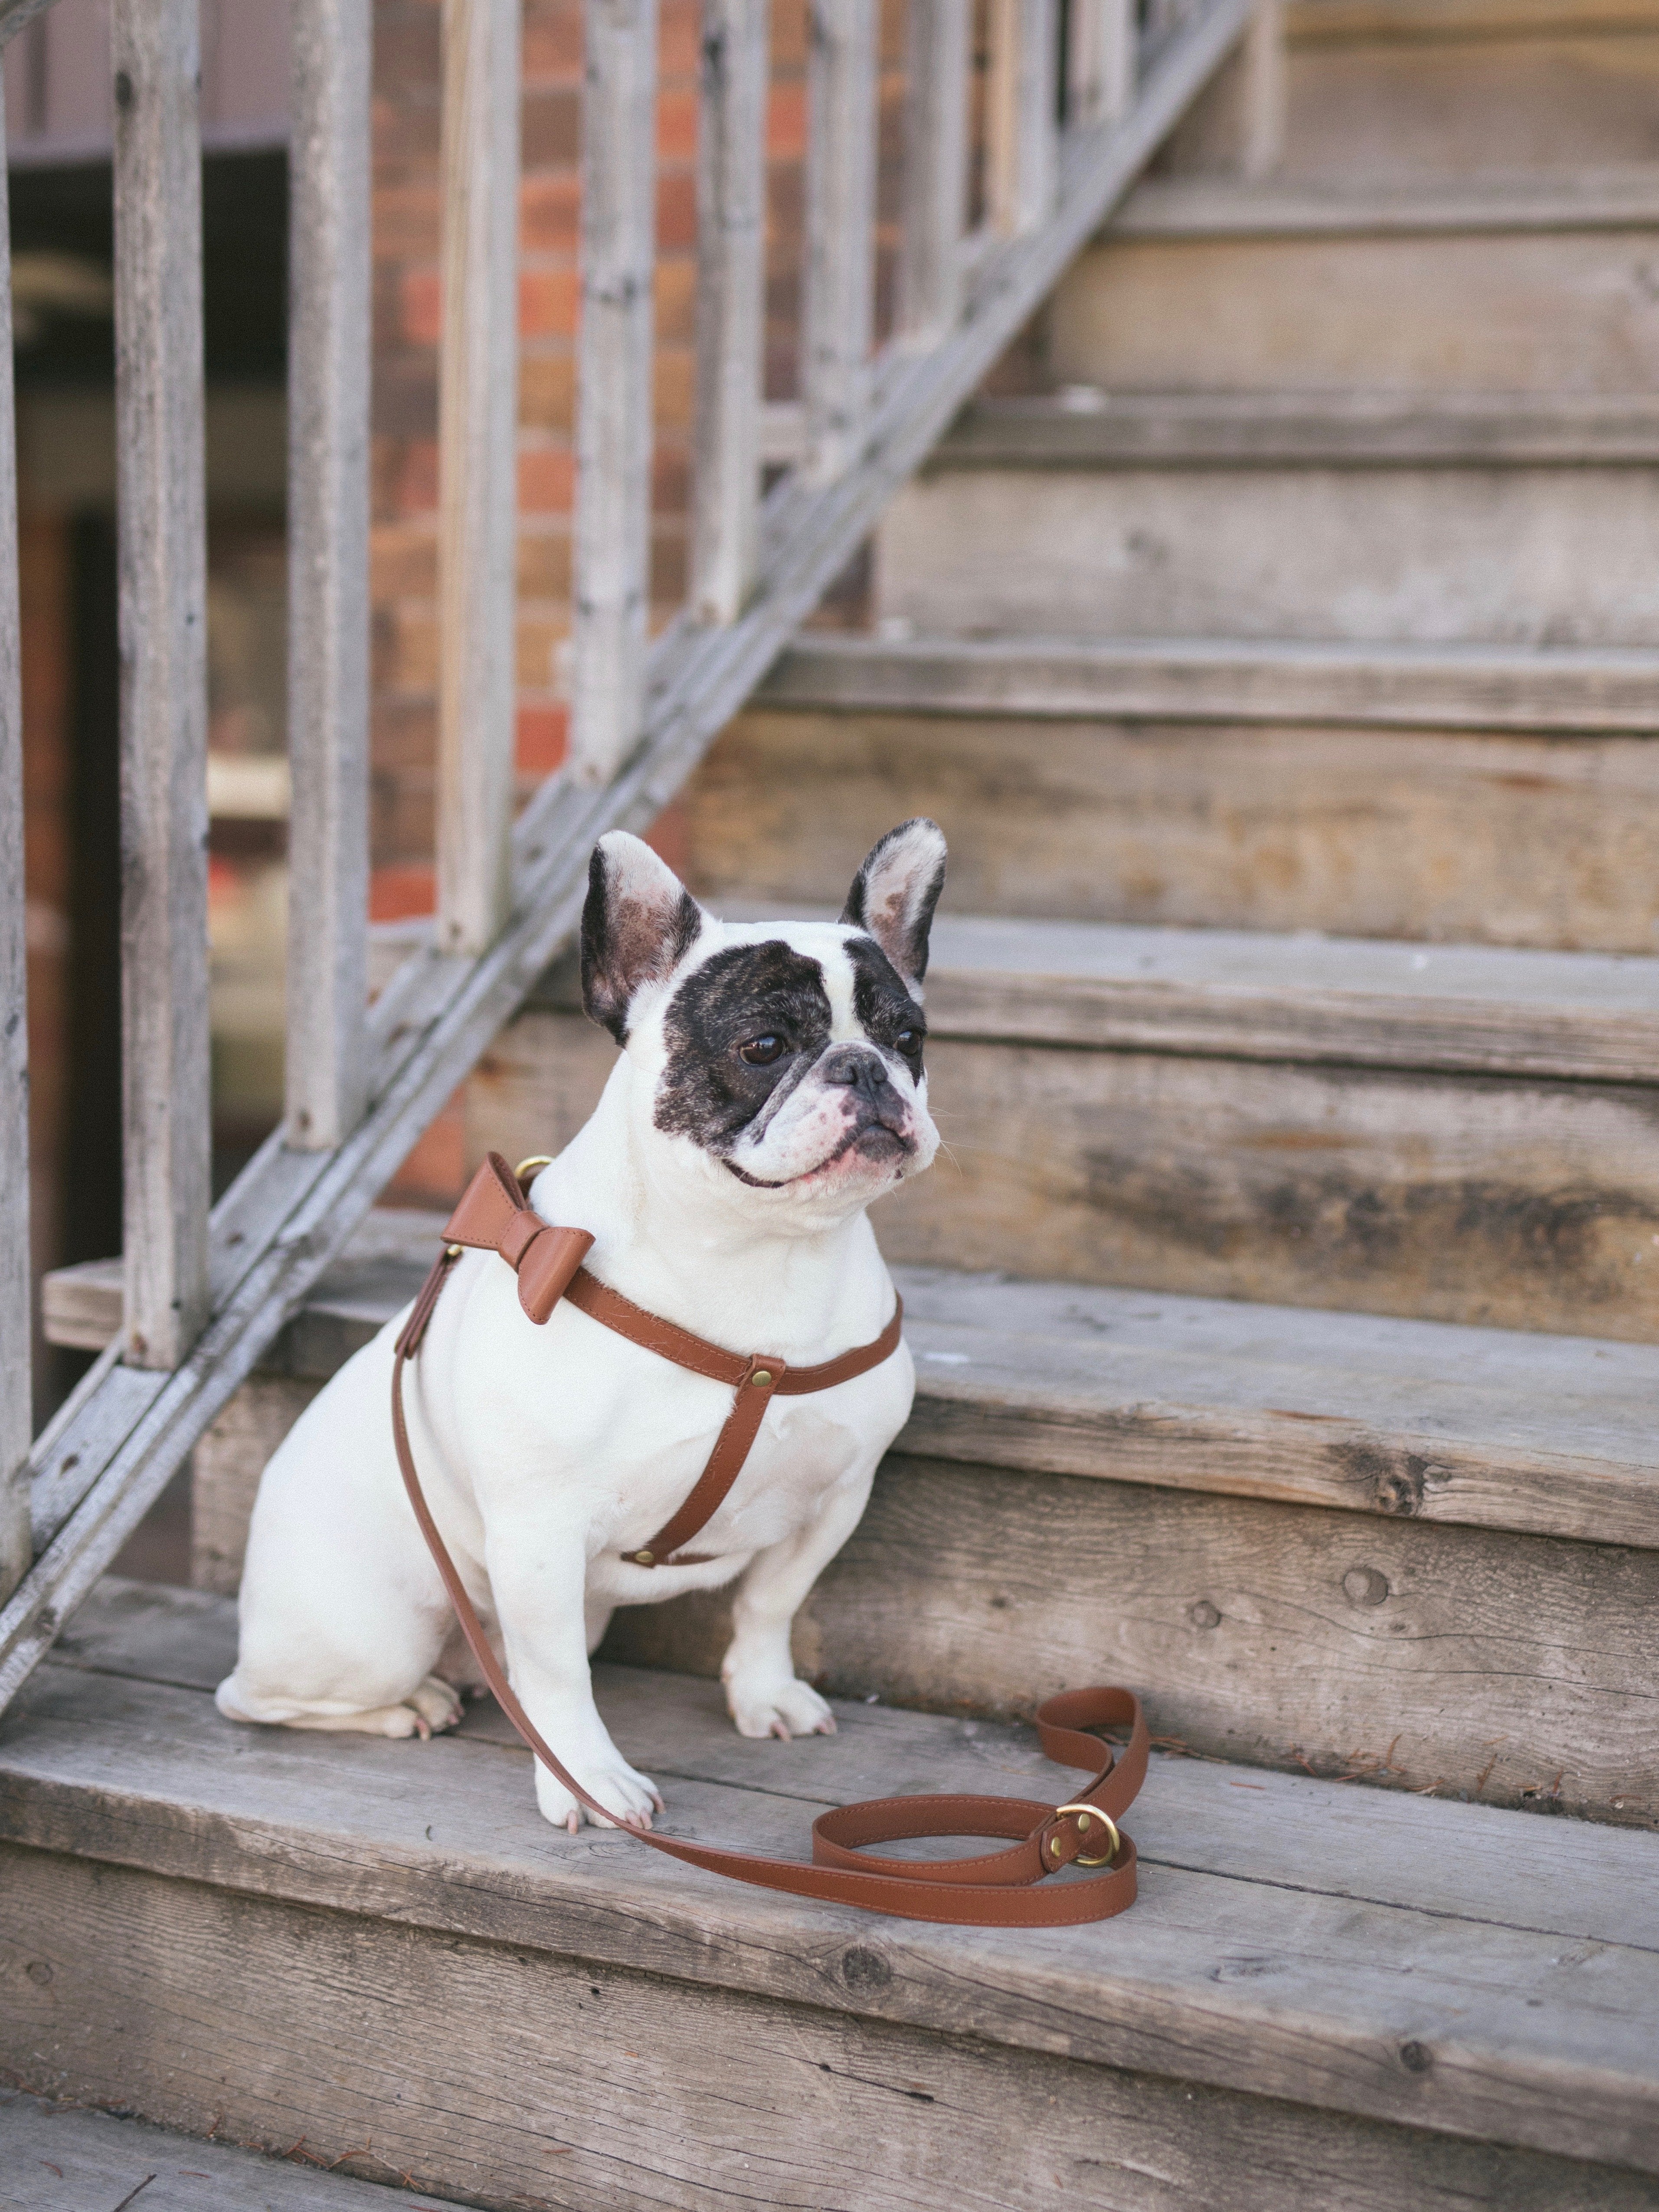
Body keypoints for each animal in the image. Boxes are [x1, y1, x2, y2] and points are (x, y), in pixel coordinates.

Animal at [221, 814, 946, 1831]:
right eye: (765, 1045)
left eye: (909, 1037)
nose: (865, 1069)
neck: (761, 1256)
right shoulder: (540, 1534)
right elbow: (559, 1674)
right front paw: (588, 1779)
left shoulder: (834, 1497)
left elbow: (769, 1605)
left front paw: (763, 1694)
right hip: (374, 1627)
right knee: (261, 1697)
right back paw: (412, 1704)